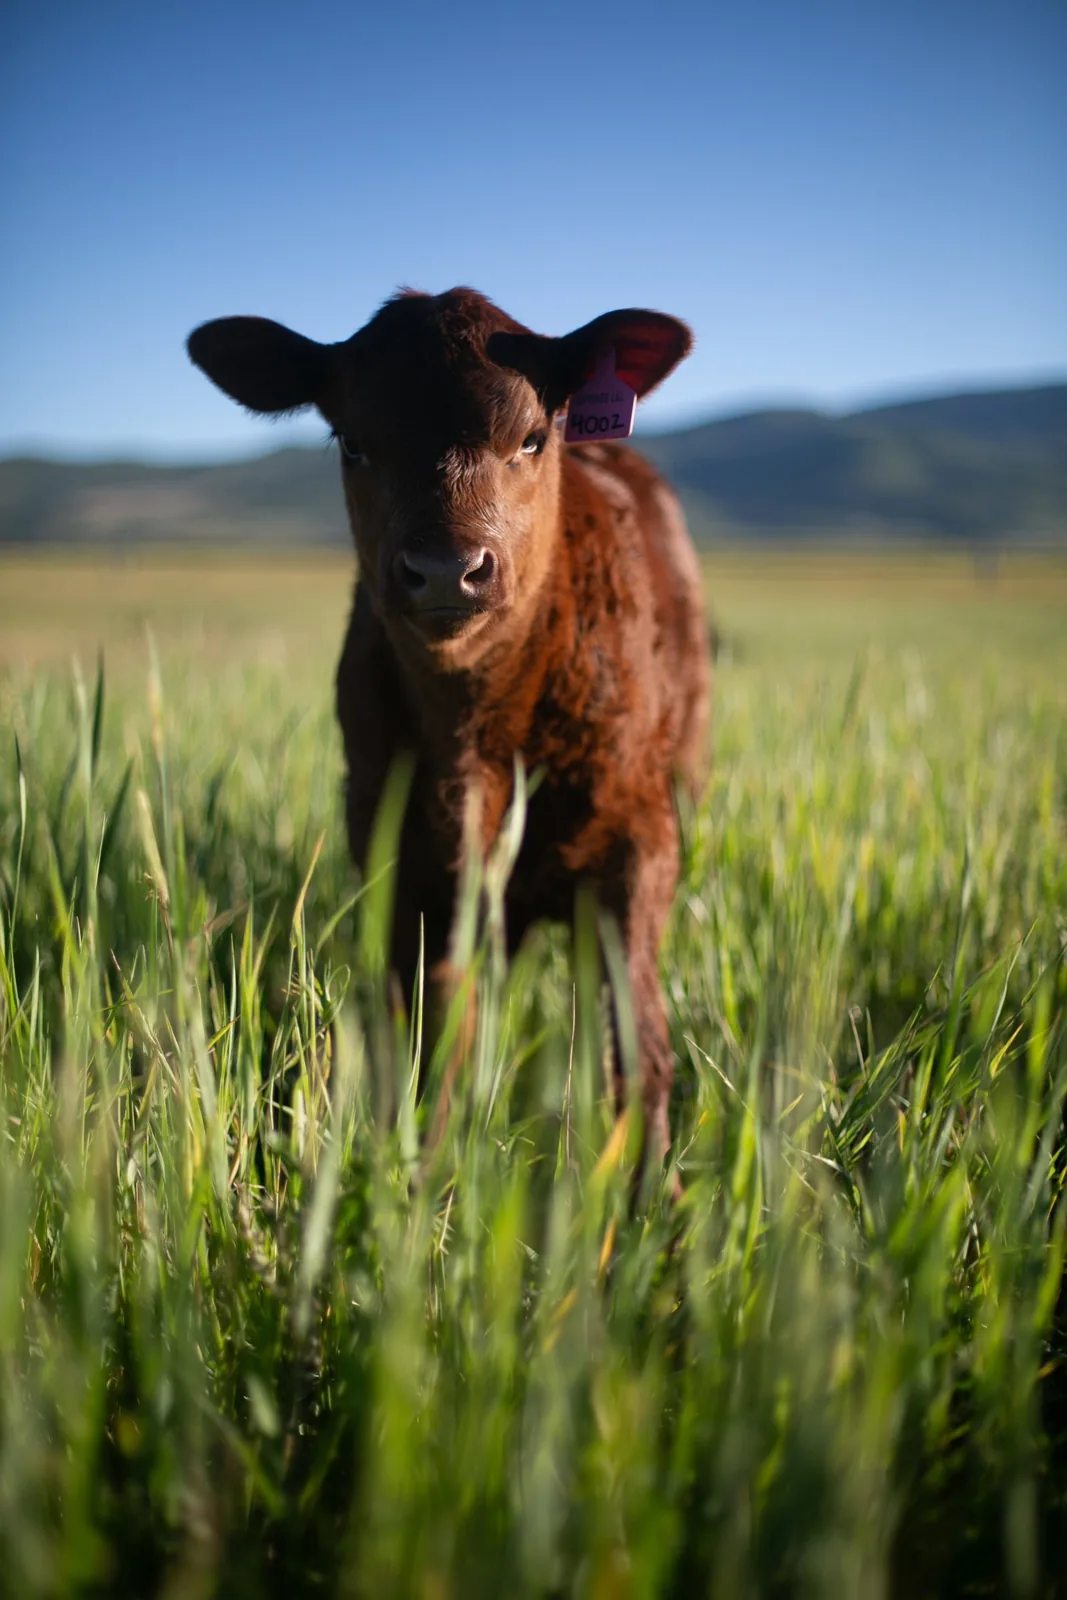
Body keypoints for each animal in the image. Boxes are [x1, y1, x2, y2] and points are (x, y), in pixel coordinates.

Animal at [187, 287, 711, 1167]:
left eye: (532, 436)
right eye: (353, 442)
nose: (443, 570)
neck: (477, 734)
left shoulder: (640, 833)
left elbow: (637, 1043)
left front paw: (649, 1195)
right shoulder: (394, 843)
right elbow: (430, 1029)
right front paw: (418, 1171)